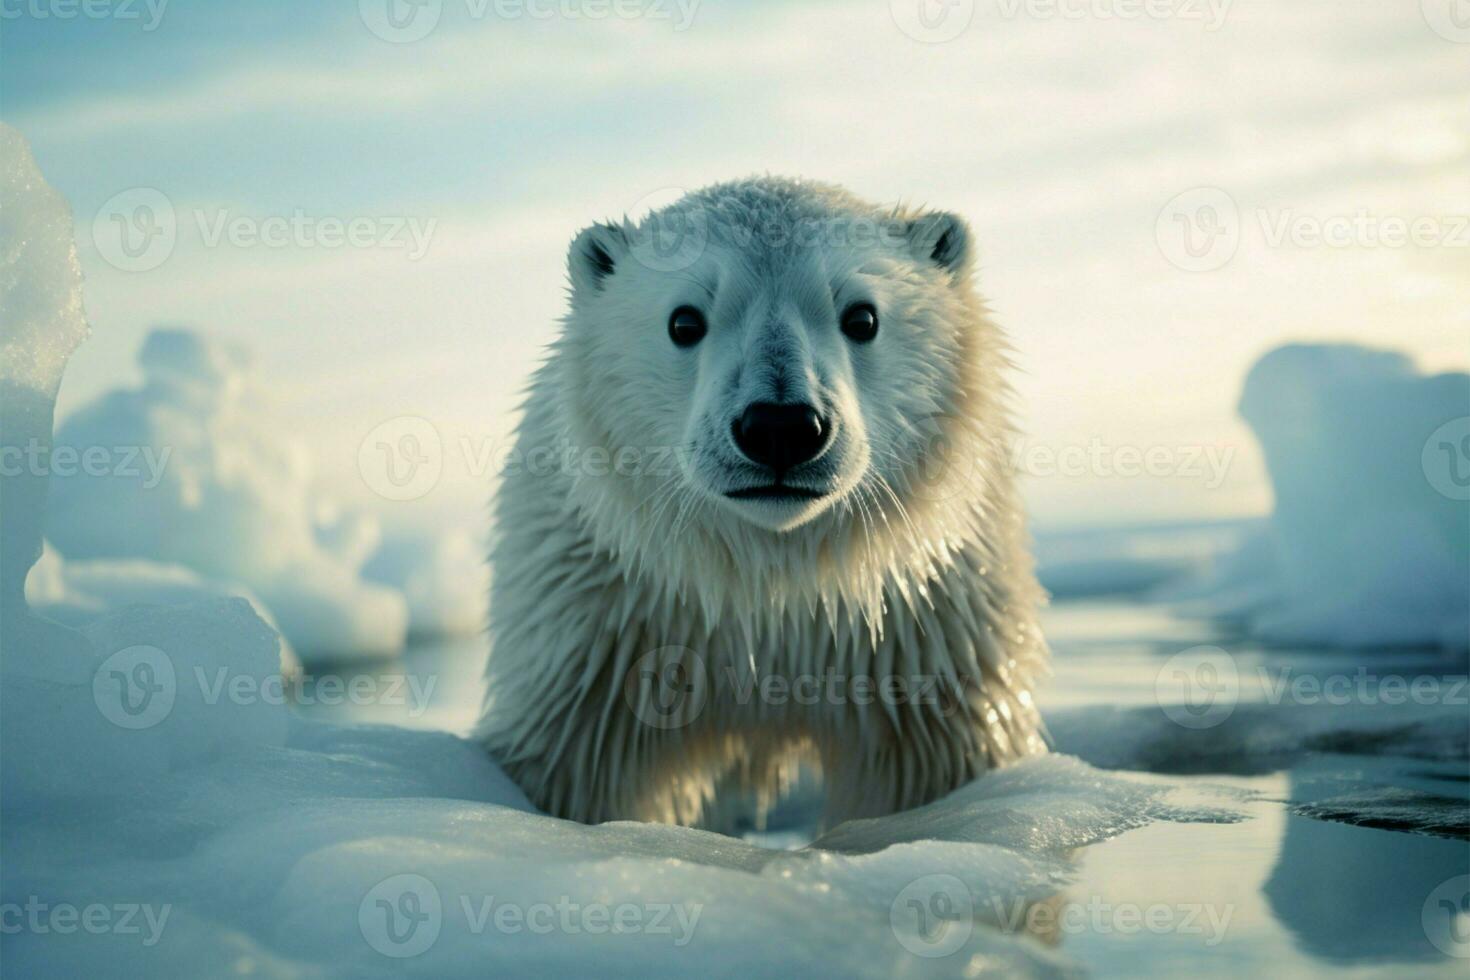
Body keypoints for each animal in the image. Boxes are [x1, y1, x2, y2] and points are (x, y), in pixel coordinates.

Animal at [479, 179, 1046, 834]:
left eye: (863, 316)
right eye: (683, 320)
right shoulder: (602, 630)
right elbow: (574, 765)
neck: (770, 585)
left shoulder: (926, 629)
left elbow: (937, 763)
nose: (781, 427)